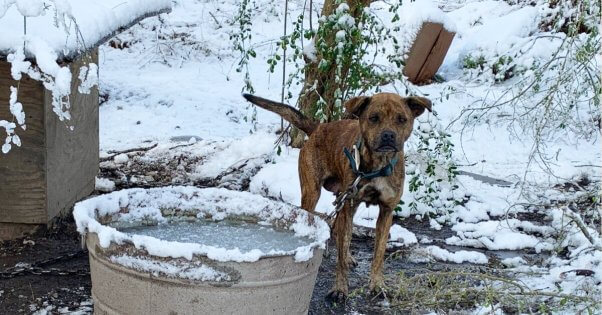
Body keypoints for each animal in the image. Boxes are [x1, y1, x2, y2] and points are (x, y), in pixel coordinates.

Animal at [241, 93, 428, 302]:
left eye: (402, 119)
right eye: (373, 118)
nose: (388, 135)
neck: (378, 165)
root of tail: (319, 127)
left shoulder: (386, 211)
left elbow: (378, 255)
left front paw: (377, 285)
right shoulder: (348, 204)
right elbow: (340, 259)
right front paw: (340, 288)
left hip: (343, 199)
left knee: (339, 229)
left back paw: (347, 255)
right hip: (314, 193)